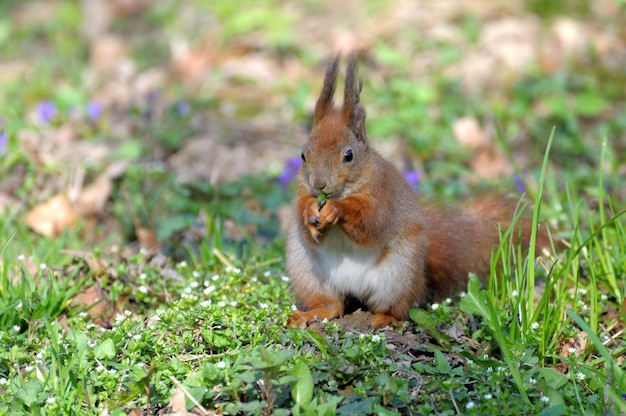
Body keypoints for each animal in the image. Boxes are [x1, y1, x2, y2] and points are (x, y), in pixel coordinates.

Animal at [286, 55, 544, 328]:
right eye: (303, 155)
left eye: (348, 155)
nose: (319, 184)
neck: (345, 191)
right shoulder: (303, 191)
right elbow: (302, 213)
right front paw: (310, 212)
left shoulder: (383, 195)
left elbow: (372, 222)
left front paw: (335, 210)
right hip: (307, 270)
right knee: (332, 305)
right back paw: (311, 313)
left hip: (399, 274)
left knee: (396, 307)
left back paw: (385, 319)